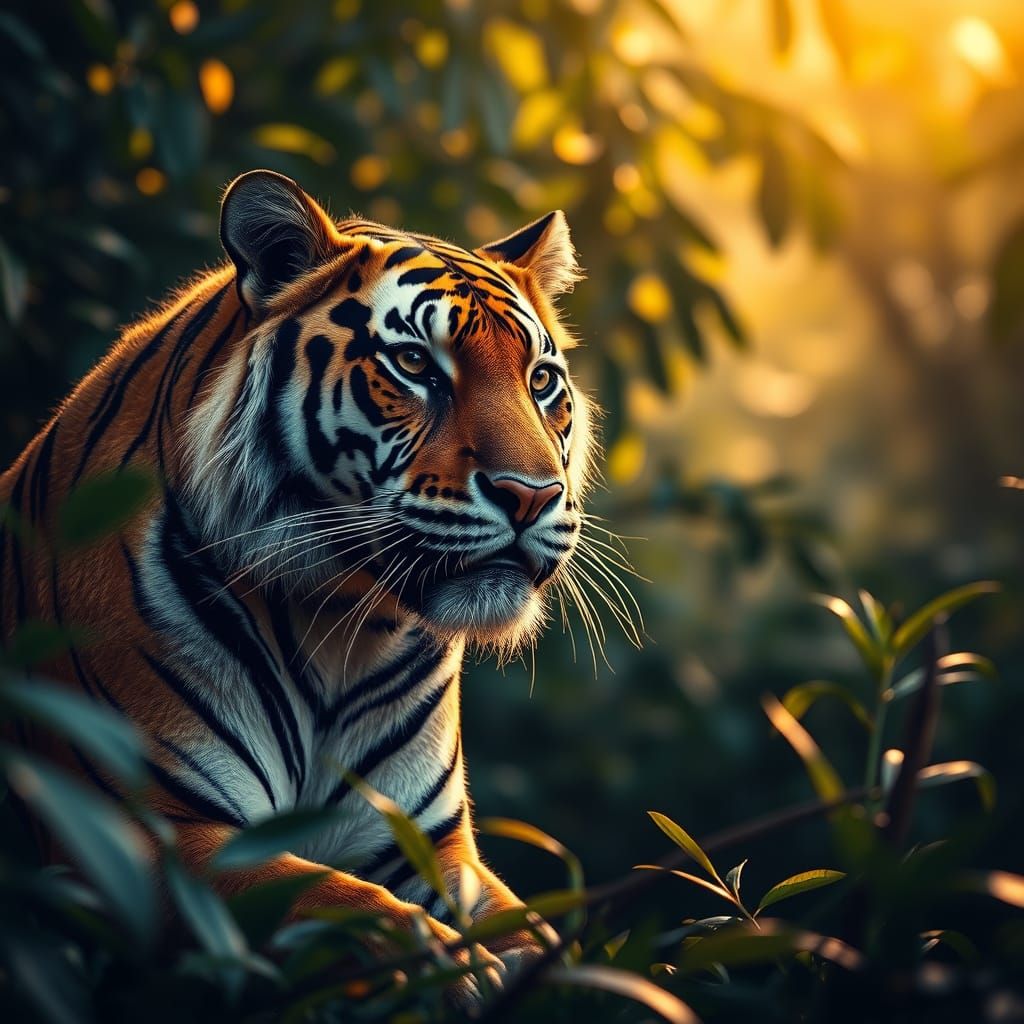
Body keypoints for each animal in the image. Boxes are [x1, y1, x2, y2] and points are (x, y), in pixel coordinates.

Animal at [0, 169, 598, 1005]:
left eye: (541, 381)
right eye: (415, 364)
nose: (532, 494)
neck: (343, 627)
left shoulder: (433, 847)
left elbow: (532, 932)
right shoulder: (144, 834)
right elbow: (343, 903)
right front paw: (448, 969)